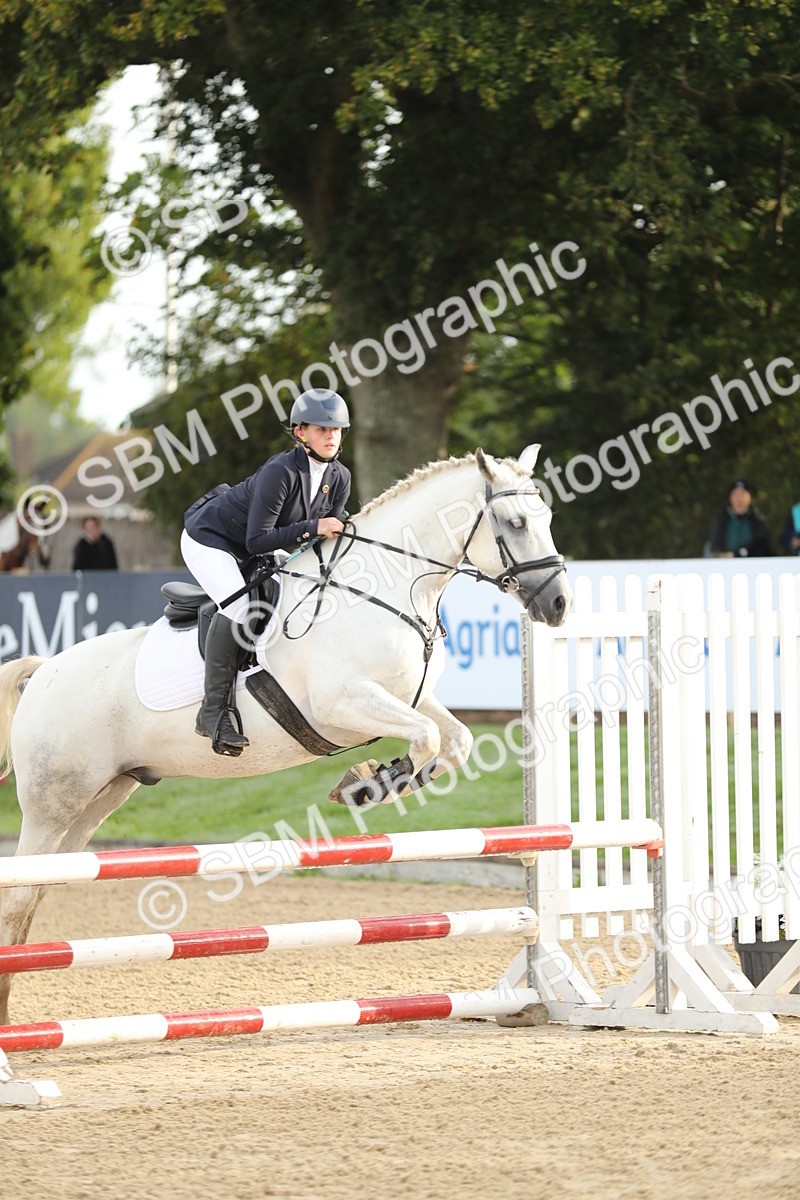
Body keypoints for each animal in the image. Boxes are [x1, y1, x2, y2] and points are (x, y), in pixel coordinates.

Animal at [0, 445, 571, 1021]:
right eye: (515, 523)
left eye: (546, 518)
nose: (559, 605)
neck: (383, 587)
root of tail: (42, 673)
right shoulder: (340, 702)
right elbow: (428, 737)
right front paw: (367, 782)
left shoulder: (407, 695)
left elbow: (452, 740)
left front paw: (372, 780)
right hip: (53, 804)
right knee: (18, 898)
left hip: (101, 797)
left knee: (36, 892)